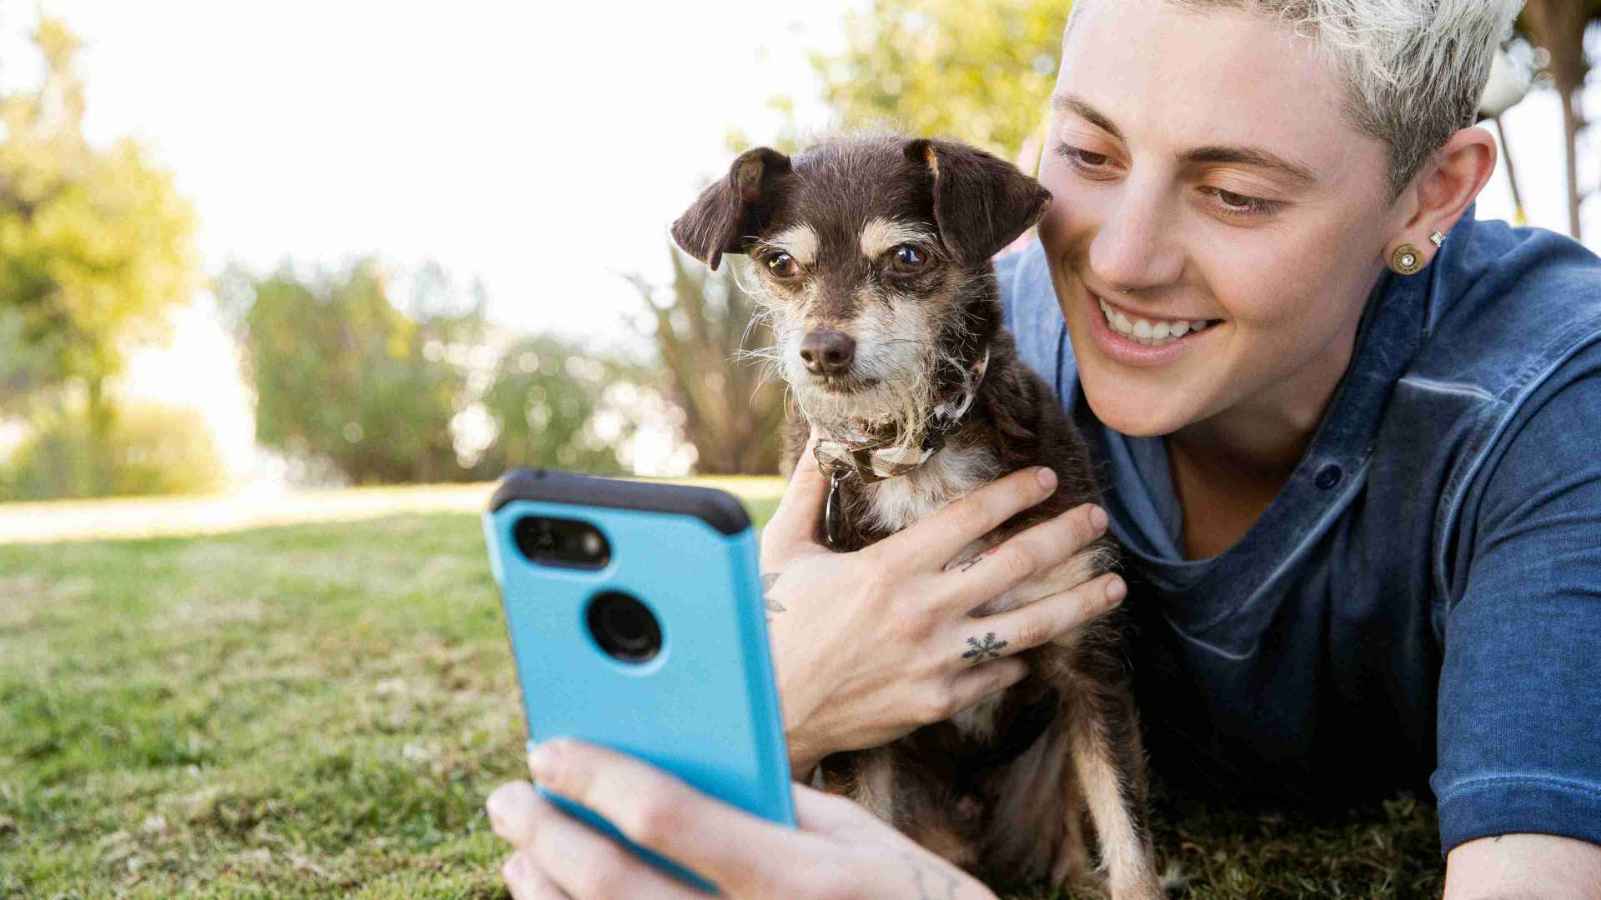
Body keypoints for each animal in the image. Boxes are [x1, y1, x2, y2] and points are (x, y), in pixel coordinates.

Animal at [669, 134, 1159, 896]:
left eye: (907, 257)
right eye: (780, 264)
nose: (822, 350)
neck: (913, 451)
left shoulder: (1090, 664)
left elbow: (1129, 839)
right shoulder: (858, 726)